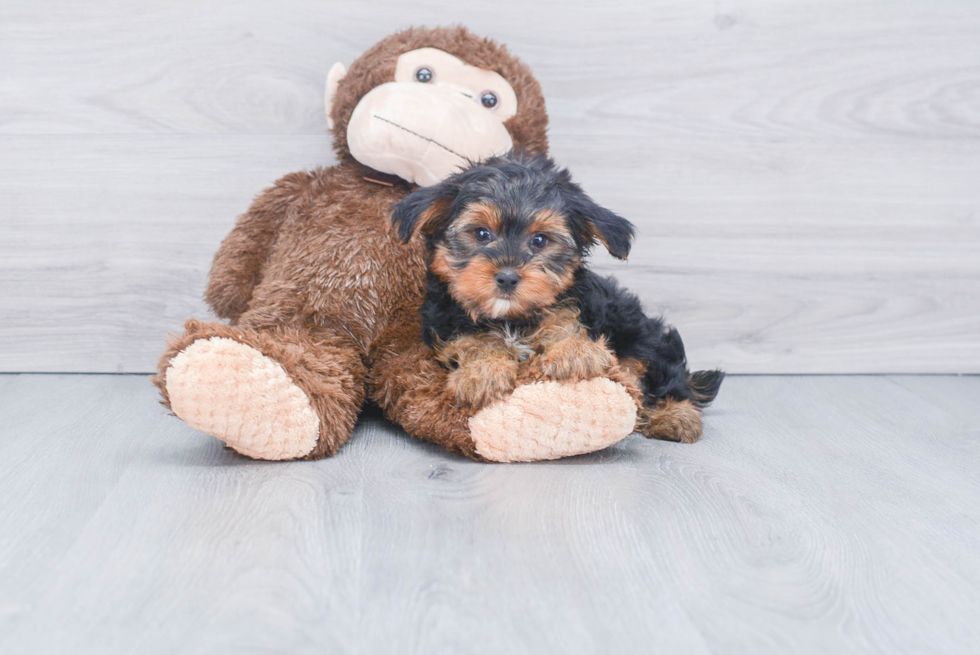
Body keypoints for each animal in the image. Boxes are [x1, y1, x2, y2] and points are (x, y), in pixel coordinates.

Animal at [388, 154, 720, 444]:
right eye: (481, 234)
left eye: (539, 240)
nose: (507, 277)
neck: (511, 319)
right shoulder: (446, 320)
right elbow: (471, 339)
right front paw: (481, 372)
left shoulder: (572, 305)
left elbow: (562, 323)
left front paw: (574, 352)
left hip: (643, 335)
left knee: (667, 379)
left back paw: (675, 416)